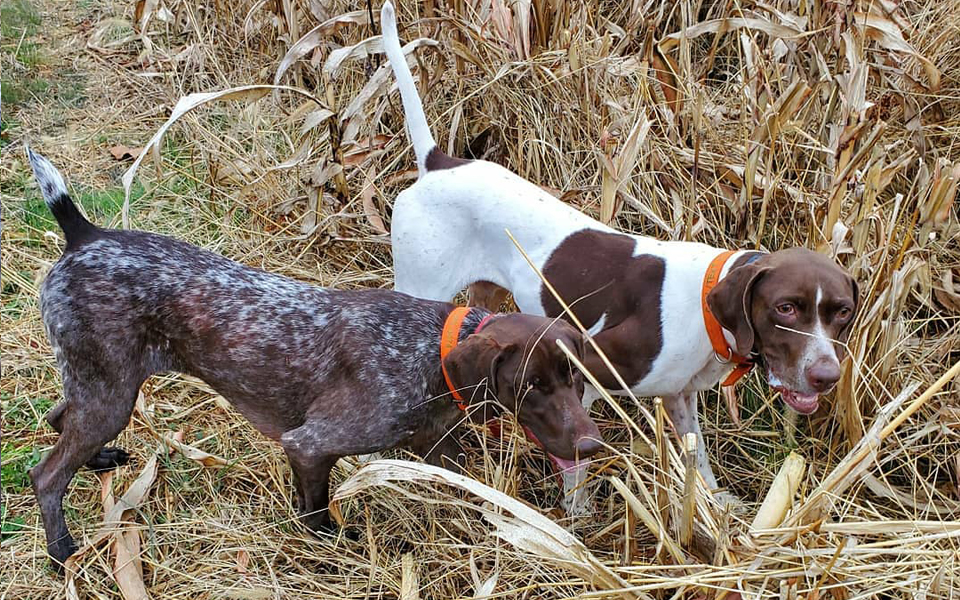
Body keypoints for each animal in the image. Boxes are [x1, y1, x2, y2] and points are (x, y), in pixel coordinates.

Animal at [24, 149, 600, 568]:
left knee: (58, 417)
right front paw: (332, 549)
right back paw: (61, 550)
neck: (429, 349)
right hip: (110, 392)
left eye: (576, 379)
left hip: (98, 382)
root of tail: (85, 234)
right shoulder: (309, 445)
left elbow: (473, 493)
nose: (591, 445)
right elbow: (317, 515)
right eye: (531, 386)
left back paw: (97, 461)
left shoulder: (435, 445)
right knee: (46, 474)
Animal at [378, 2, 860, 512]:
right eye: (785, 308)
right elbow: (575, 452)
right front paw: (576, 512)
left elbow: (696, 458)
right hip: (418, 290)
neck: (705, 308)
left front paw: (713, 504)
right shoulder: (587, 372)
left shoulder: (679, 397)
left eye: (842, 313)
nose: (827, 375)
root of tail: (438, 163)